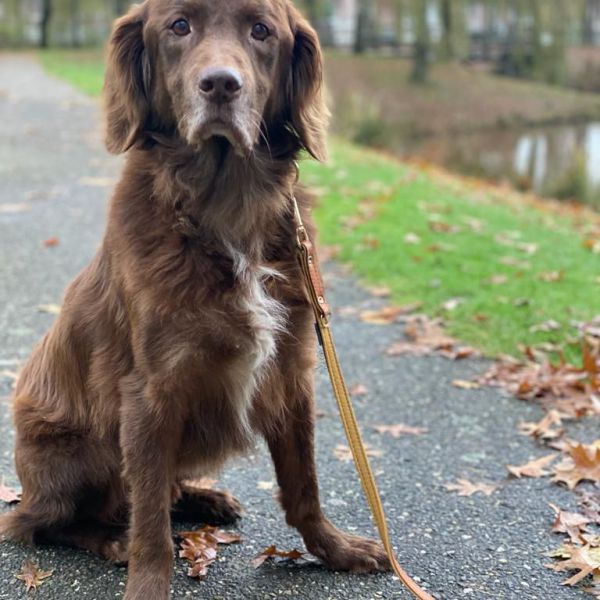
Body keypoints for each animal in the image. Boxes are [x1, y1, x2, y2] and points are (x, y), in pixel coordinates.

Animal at [0, 1, 390, 600]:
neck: (227, 209)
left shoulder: (291, 369)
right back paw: (108, 537)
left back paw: (206, 497)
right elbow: (151, 526)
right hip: (73, 451)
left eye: (261, 31)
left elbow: (303, 485)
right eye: (178, 26)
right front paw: (146, 584)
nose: (221, 84)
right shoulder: (150, 391)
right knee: (48, 521)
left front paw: (335, 549)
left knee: (158, 490)